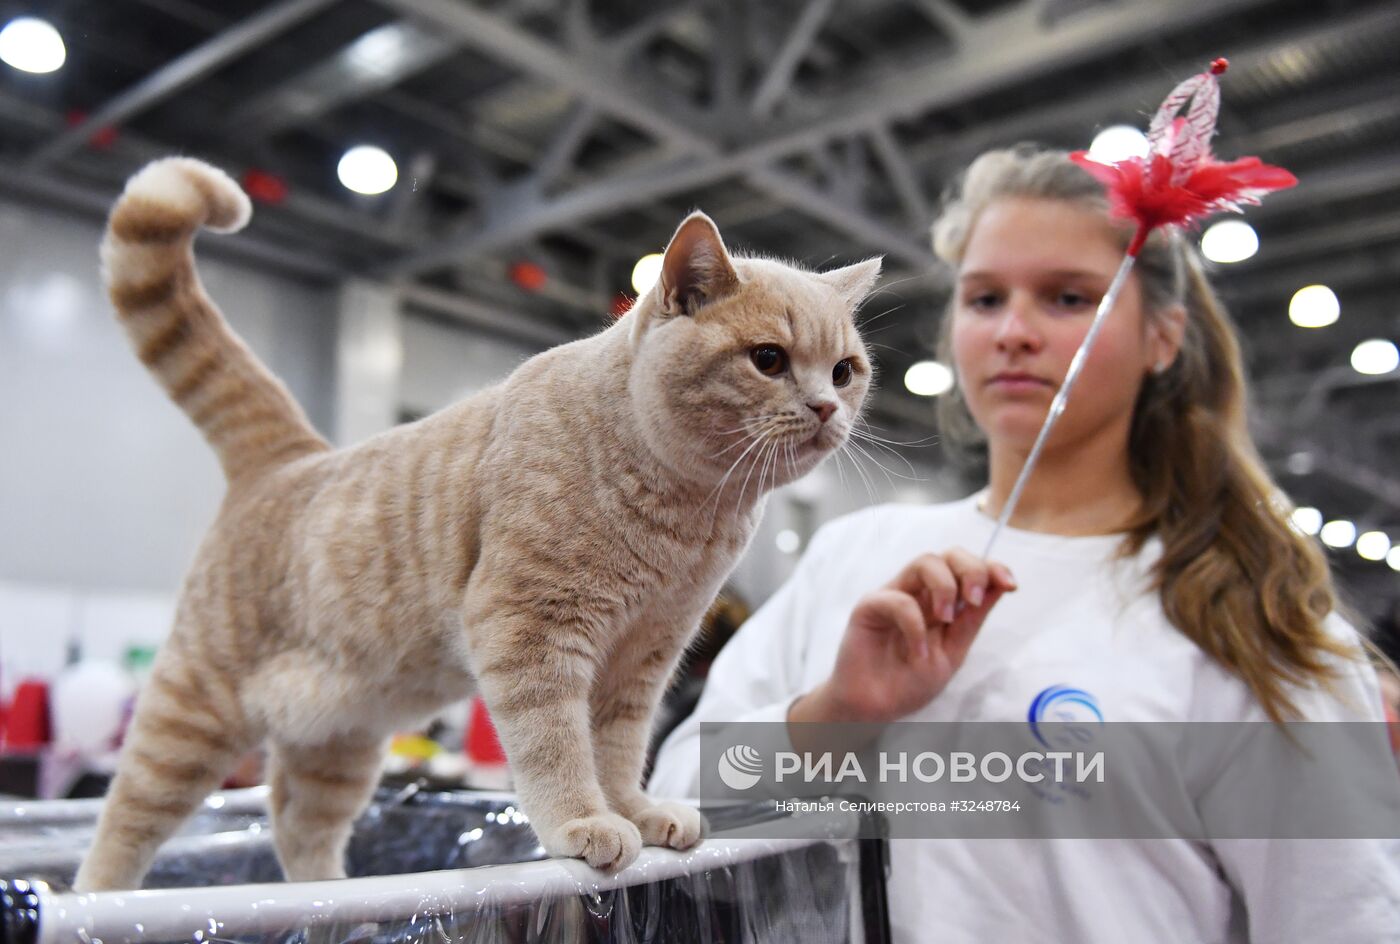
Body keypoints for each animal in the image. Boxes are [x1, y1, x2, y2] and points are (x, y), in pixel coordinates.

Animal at [73, 156, 873, 890]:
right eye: (768, 359)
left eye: (844, 371)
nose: (826, 408)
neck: (688, 514)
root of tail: (291, 457)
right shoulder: (531, 628)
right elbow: (556, 744)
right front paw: (584, 821)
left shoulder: (644, 657)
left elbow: (617, 749)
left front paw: (636, 811)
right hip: (191, 713)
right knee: (124, 824)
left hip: (338, 740)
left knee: (297, 825)